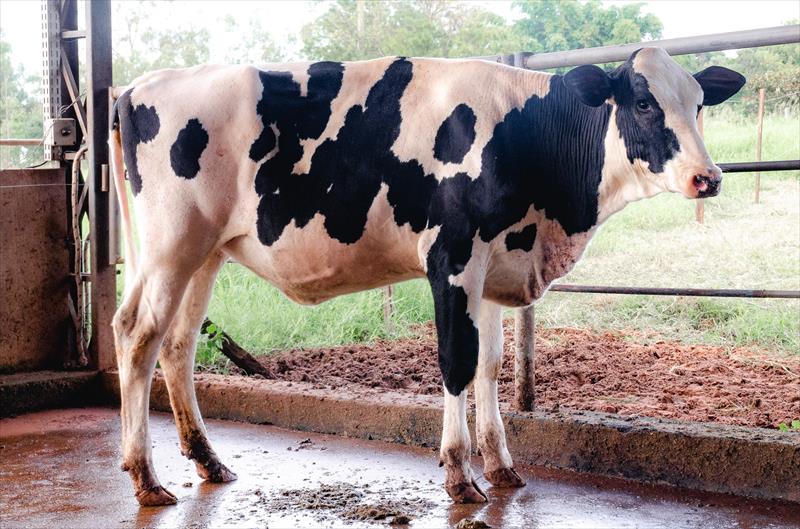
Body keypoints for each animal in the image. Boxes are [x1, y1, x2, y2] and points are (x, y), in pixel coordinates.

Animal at [109, 47, 744, 506]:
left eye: (698, 103)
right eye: (642, 103)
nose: (707, 177)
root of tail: (137, 88)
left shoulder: (495, 267)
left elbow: (490, 366)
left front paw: (502, 467)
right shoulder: (452, 258)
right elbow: (457, 362)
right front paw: (460, 474)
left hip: (205, 253)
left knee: (178, 345)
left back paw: (209, 462)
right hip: (171, 247)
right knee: (139, 338)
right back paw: (145, 477)